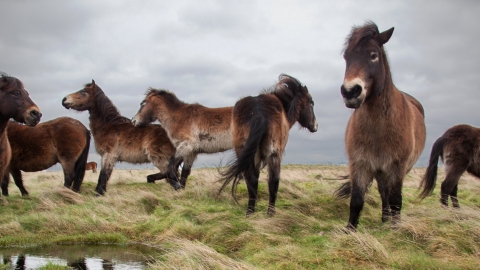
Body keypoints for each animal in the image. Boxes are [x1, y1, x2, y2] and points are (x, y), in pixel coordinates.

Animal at [218, 74, 316, 217]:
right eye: (311, 102)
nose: (315, 126)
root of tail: (257, 112)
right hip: (273, 155)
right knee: (273, 181)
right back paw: (270, 212)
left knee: (252, 181)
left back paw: (250, 213)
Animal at [336, 22, 426, 231]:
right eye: (346, 57)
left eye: (373, 55)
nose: (350, 92)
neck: (378, 129)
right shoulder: (360, 164)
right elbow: (357, 200)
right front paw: (350, 230)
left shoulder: (396, 167)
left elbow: (396, 200)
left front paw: (396, 228)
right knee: (383, 192)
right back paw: (385, 218)